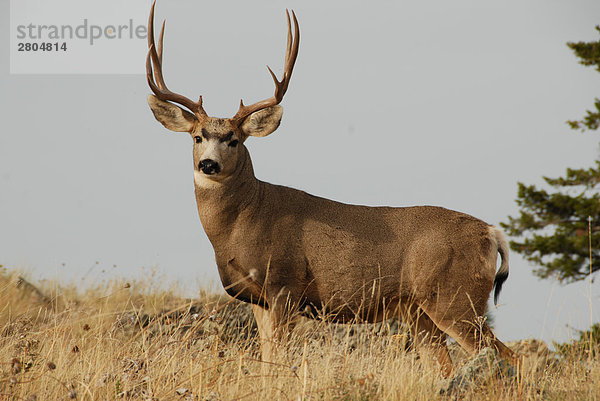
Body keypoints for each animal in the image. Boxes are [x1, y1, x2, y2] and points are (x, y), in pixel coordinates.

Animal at [145, 1, 516, 376]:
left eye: (234, 139)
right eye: (197, 137)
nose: (209, 164)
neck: (243, 222)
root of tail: (491, 233)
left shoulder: (284, 284)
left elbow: (278, 355)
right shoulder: (258, 299)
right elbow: (265, 356)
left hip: (456, 298)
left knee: (506, 354)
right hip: (421, 312)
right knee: (446, 364)